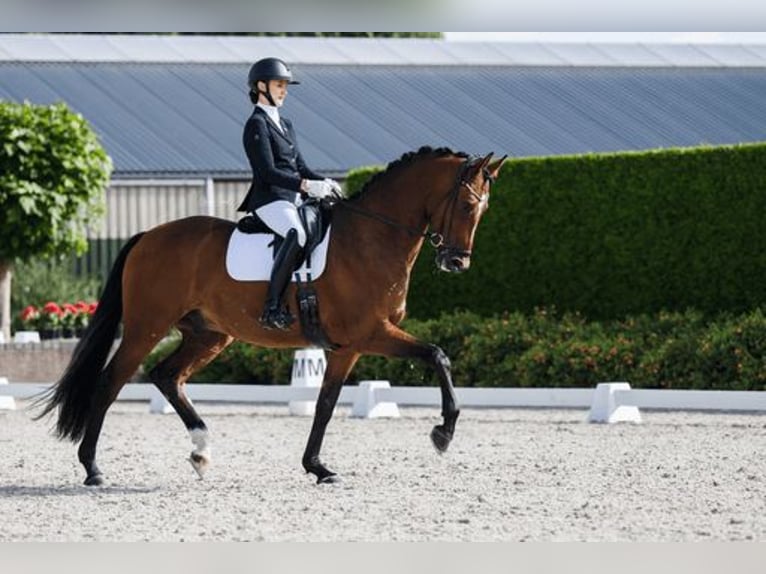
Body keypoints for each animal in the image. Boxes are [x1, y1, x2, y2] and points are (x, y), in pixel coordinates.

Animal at [36, 147, 508, 486]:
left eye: (485, 210)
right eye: (468, 206)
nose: (456, 262)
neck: (371, 237)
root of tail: (147, 235)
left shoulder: (348, 347)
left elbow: (326, 404)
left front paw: (318, 467)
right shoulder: (370, 333)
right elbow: (437, 354)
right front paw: (443, 433)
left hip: (209, 334)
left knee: (167, 376)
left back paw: (201, 451)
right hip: (145, 328)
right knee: (110, 383)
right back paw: (93, 469)